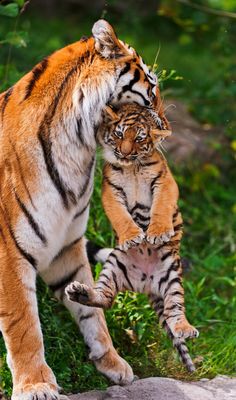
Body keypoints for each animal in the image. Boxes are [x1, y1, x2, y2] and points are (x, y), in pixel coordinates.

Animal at [0, 19, 158, 400]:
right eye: (152, 88)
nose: (164, 124)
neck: (79, 150)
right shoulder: (10, 251)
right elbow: (23, 324)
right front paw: (36, 384)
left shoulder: (66, 244)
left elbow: (90, 312)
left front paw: (112, 362)